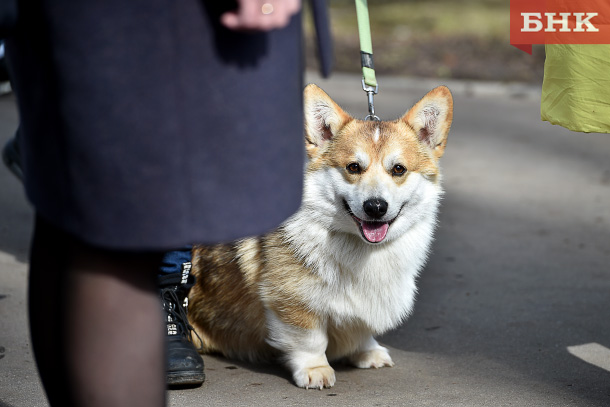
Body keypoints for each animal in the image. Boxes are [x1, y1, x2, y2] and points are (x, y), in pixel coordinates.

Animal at [189, 83, 452, 388]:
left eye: (398, 169)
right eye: (353, 167)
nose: (375, 207)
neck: (362, 248)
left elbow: (362, 329)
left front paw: (367, 351)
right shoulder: (292, 300)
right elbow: (310, 339)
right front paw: (315, 369)